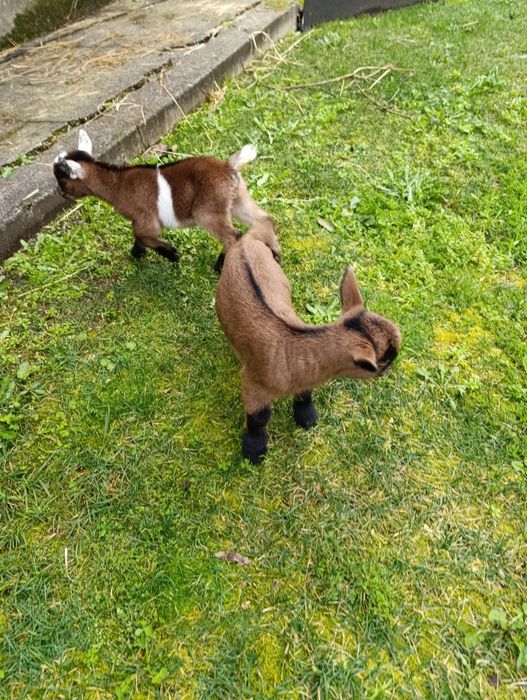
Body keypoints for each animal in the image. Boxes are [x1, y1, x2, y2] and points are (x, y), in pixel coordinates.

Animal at [53, 130, 278, 270]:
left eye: (62, 179)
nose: (60, 193)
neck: (118, 185)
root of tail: (228, 166)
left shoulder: (145, 220)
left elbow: (141, 235)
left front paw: (171, 254)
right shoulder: (141, 221)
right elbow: (139, 237)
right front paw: (137, 253)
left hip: (209, 212)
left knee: (234, 235)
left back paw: (220, 265)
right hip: (238, 198)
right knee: (264, 220)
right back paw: (276, 255)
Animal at [216, 224, 401, 464]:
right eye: (386, 359)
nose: (390, 369)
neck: (293, 346)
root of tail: (245, 245)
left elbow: (304, 394)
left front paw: (307, 416)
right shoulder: (253, 381)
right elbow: (259, 417)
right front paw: (254, 449)